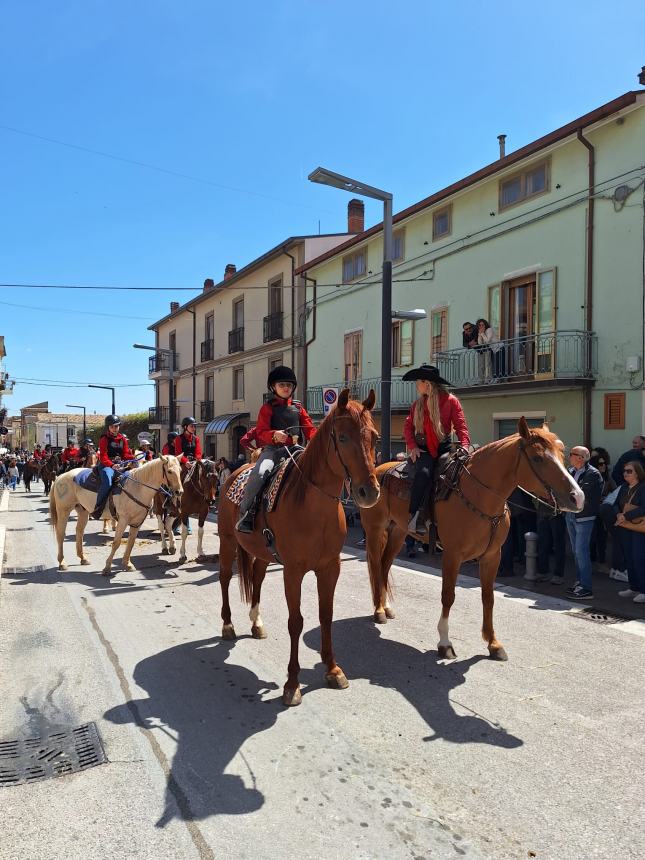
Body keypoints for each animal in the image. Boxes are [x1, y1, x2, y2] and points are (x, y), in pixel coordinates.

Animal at [48, 456, 181, 576]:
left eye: (180, 469)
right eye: (169, 471)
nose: (179, 492)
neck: (137, 487)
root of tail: (61, 477)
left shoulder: (137, 522)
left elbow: (131, 542)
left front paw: (127, 564)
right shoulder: (123, 520)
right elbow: (116, 542)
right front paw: (107, 568)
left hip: (83, 511)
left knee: (79, 532)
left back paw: (83, 558)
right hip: (63, 511)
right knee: (61, 534)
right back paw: (62, 562)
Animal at [218, 390, 378, 704]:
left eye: (375, 437)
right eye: (343, 437)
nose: (369, 492)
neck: (314, 506)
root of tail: (235, 470)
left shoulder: (330, 568)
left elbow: (326, 616)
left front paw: (333, 670)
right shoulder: (293, 571)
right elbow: (296, 621)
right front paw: (292, 684)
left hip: (262, 553)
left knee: (256, 578)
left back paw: (256, 623)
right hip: (227, 542)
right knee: (224, 578)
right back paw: (228, 625)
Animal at [362, 420, 584, 660]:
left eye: (561, 453)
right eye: (537, 458)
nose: (578, 497)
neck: (479, 495)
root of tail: (378, 471)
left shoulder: (492, 556)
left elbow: (489, 597)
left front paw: (493, 643)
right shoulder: (452, 555)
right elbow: (448, 595)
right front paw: (445, 642)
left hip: (399, 531)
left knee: (385, 565)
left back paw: (386, 607)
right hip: (375, 530)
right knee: (376, 566)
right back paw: (378, 611)